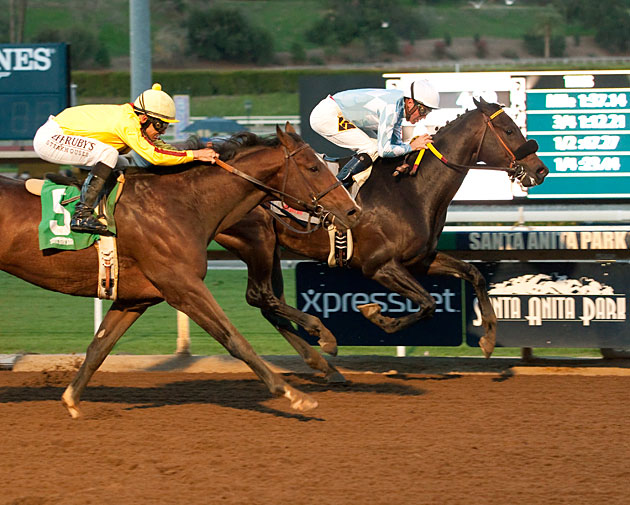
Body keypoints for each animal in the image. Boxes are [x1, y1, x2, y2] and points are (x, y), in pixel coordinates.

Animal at [0, 124, 360, 416]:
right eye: (313, 167)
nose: (352, 211)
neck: (180, 203)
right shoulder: (183, 287)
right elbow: (234, 339)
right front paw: (294, 393)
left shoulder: (135, 298)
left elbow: (99, 347)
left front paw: (72, 400)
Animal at [216, 98, 548, 380]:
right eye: (509, 129)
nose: (540, 170)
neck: (412, 189)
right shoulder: (379, 266)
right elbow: (428, 303)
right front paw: (376, 314)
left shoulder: (420, 259)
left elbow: (474, 273)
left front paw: (489, 339)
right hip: (257, 242)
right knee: (259, 296)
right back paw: (325, 340)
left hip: (271, 248)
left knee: (270, 304)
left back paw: (323, 363)